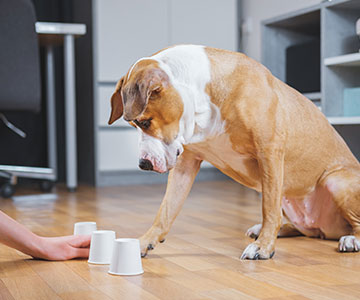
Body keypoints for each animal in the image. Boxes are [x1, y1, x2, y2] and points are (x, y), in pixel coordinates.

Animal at [107, 45, 360, 260]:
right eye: (135, 125)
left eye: (145, 122)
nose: (143, 164)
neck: (203, 97)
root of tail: (325, 229)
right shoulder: (185, 165)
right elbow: (166, 210)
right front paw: (143, 242)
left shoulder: (269, 151)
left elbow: (268, 207)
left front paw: (263, 247)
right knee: (300, 226)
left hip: (336, 181)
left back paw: (350, 240)